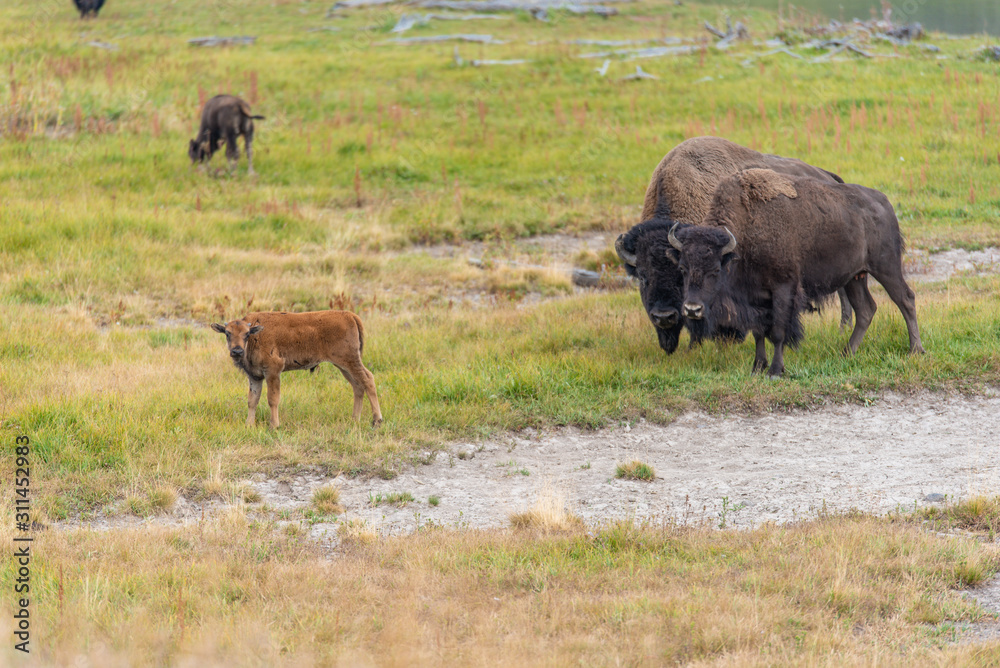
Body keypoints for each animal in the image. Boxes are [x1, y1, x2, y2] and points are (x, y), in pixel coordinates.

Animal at [211, 310, 382, 428]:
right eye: (227, 333)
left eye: (246, 334)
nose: (237, 351)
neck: (256, 335)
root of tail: (350, 315)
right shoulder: (255, 376)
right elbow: (252, 400)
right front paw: (249, 425)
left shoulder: (273, 371)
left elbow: (272, 399)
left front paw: (274, 426)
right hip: (343, 366)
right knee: (357, 386)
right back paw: (355, 419)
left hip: (350, 361)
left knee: (368, 380)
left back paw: (377, 420)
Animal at [664, 170, 920, 378]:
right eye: (682, 268)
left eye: (716, 269)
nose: (692, 309)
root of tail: (884, 203)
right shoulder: (755, 297)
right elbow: (758, 332)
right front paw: (757, 367)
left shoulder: (783, 289)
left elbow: (778, 331)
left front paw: (776, 371)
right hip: (855, 277)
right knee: (866, 309)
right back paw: (846, 353)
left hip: (886, 267)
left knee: (905, 299)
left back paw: (915, 350)